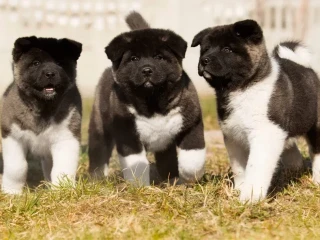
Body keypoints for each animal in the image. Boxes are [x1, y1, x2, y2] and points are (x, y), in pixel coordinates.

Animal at [0, 36, 82, 194]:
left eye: (59, 63)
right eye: (36, 63)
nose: (50, 74)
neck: (42, 107)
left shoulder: (66, 138)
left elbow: (62, 168)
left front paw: (63, 191)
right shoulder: (12, 136)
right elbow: (17, 167)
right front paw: (11, 192)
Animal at [88, 12, 205, 186]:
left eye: (159, 57)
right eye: (134, 59)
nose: (147, 70)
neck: (153, 102)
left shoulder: (191, 124)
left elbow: (193, 157)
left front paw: (190, 177)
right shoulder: (128, 133)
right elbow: (136, 164)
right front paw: (139, 185)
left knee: (167, 159)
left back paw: (171, 179)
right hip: (100, 125)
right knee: (99, 151)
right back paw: (97, 178)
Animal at [190, 19, 318, 202]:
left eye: (227, 49)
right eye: (205, 49)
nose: (204, 60)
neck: (243, 88)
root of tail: (305, 67)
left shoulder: (265, 133)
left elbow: (256, 167)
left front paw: (250, 197)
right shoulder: (234, 136)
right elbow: (239, 167)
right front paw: (239, 189)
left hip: (315, 124)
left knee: (316, 152)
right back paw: (292, 170)